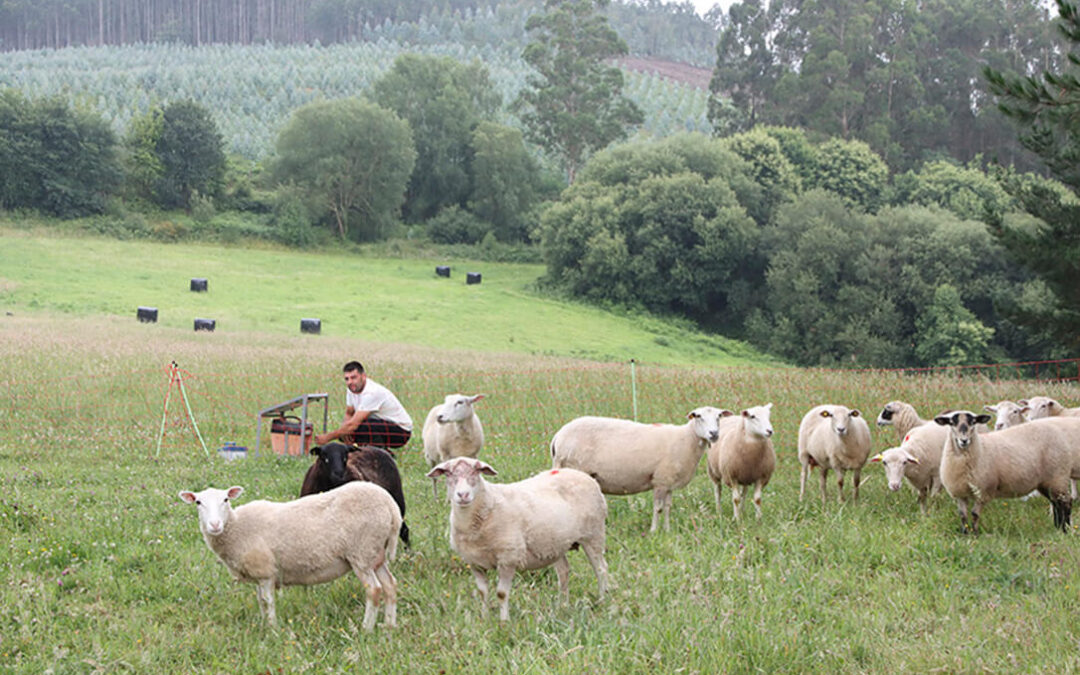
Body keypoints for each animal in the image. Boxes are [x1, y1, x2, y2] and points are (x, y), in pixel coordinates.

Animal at [179, 481, 403, 630]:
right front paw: (264, 626)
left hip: (361, 552)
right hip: (375, 554)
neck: (237, 526)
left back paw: (366, 628)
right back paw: (389, 626)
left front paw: (272, 630)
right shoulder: (260, 574)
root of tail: (391, 506)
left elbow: (268, 601)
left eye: (225, 500)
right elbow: (260, 601)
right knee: (390, 585)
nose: (215, 525)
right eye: (198, 502)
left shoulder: (265, 570)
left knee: (374, 589)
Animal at [423, 457, 609, 622]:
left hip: (593, 534)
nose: (463, 495)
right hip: (554, 544)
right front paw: (484, 618)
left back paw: (602, 600)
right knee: (563, 571)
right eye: (448, 474)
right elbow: (482, 592)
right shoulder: (474, 563)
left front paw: (504, 622)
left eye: (476, 472)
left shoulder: (508, 558)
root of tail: (584, 476)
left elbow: (501, 593)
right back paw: (562, 605)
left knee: (601, 569)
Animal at [548, 406, 734, 531]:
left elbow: (667, 507)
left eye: (719, 416)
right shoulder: (660, 480)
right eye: (698, 416)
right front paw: (653, 531)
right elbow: (658, 508)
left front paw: (667, 530)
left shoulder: (668, 482)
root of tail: (558, 436)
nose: (714, 434)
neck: (686, 439)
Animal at [928, 410, 1080, 531]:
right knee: (1056, 504)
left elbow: (975, 514)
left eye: (973, 422)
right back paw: (1058, 528)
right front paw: (965, 533)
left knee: (1065, 503)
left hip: (1058, 476)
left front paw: (975, 534)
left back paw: (1065, 530)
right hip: (1046, 481)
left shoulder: (983, 490)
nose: (964, 440)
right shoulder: (960, 492)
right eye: (951, 423)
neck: (979, 448)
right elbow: (963, 516)